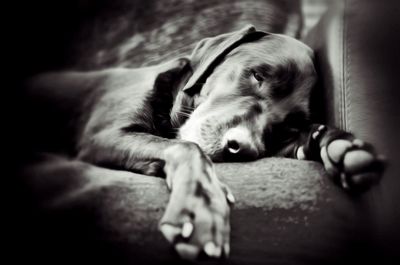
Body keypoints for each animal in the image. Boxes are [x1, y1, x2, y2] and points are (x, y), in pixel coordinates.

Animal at [22, 25, 384, 258]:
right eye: (258, 75)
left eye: (290, 122)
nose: (241, 148)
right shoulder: (106, 136)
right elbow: (188, 147)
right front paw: (200, 209)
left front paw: (339, 146)